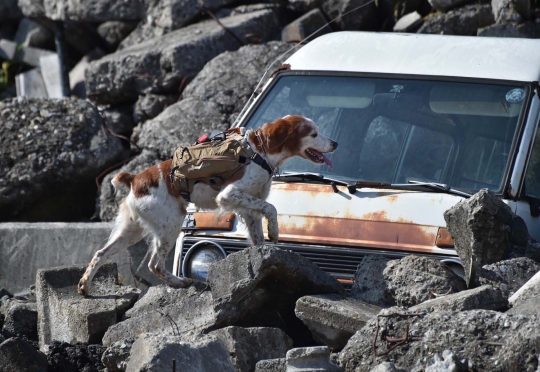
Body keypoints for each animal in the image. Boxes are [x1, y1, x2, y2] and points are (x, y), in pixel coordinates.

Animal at [77, 115, 338, 294]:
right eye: (314, 134)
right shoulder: (229, 194)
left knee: (100, 253)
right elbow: (271, 209)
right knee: (154, 265)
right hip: (171, 225)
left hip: (132, 230)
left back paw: (84, 286)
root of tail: (134, 179)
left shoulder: (249, 209)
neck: (261, 151)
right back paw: (182, 281)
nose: (335, 143)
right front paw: (274, 231)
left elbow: (257, 238)